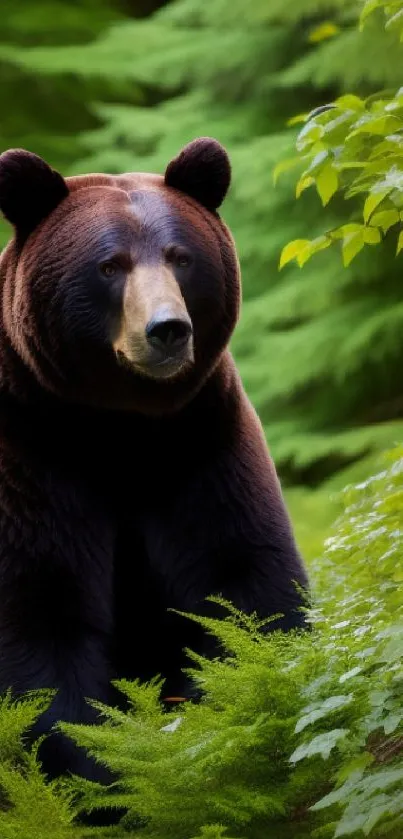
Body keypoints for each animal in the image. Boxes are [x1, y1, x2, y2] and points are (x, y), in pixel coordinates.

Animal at [0, 135, 308, 784]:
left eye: (181, 257)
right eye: (109, 264)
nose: (167, 329)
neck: (122, 427)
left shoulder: (199, 445)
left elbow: (243, 580)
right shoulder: (31, 459)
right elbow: (41, 615)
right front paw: (98, 769)